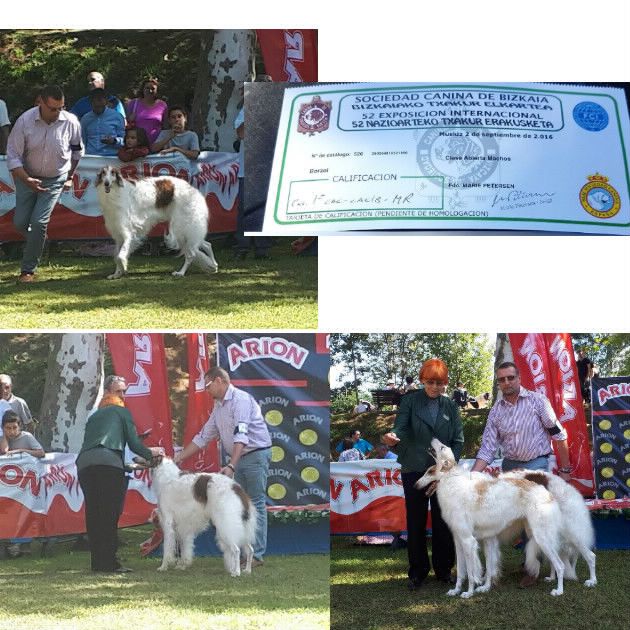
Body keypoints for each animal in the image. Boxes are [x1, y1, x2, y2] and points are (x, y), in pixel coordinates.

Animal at [418, 442, 564, 600]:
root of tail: (547, 493)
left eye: (442, 447)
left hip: (541, 536)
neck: (453, 484)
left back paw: (559, 590)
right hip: (539, 535)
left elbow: (471, 573)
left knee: (560, 565)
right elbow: (462, 572)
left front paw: (468, 592)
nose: (415, 485)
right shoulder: (458, 540)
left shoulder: (468, 541)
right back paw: (551, 578)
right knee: (553, 561)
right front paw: (456, 590)